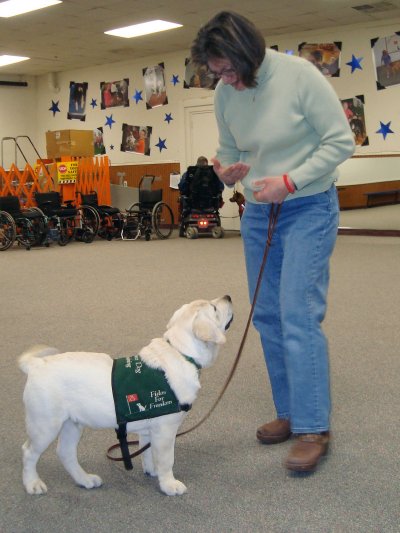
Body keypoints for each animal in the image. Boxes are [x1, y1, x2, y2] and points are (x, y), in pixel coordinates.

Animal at [19, 298, 231, 496]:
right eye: (214, 308)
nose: (228, 297)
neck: (181, 352)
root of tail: (36, 364)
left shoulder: (149, 428)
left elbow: (147, 452)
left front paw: (151, 471)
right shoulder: (165, 430)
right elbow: (166, 460)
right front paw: (169, 484)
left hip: (72, 423)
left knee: (65, 452)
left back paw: (85, 480)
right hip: (45, 425)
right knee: (29, 452)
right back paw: (32, 484)